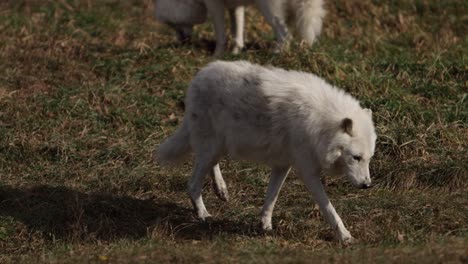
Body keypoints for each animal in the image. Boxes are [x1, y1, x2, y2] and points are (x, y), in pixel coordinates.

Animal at [154, 0, 326, 55]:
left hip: (269, 11)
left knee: (285, 35)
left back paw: (275, 54)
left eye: (171, 24)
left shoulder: (215, 7)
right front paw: (235, 53)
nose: (181, 42)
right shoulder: (235, 7)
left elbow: (221, 35)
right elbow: (237, 32)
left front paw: (216, 55)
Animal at [156, 60, 376, 242]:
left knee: (211, 166)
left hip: (219, 147)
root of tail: (199, 76)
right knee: (193, 184)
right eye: (356, 158)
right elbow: (328, 208)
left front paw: (265, 225)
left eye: (368, 159)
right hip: (211, 148)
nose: (367, 185)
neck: (321, 123)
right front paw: (345, 236)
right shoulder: (308, 172)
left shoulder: (282, 165)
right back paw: (203, 214)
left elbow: (272, 198)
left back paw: (221, 190)